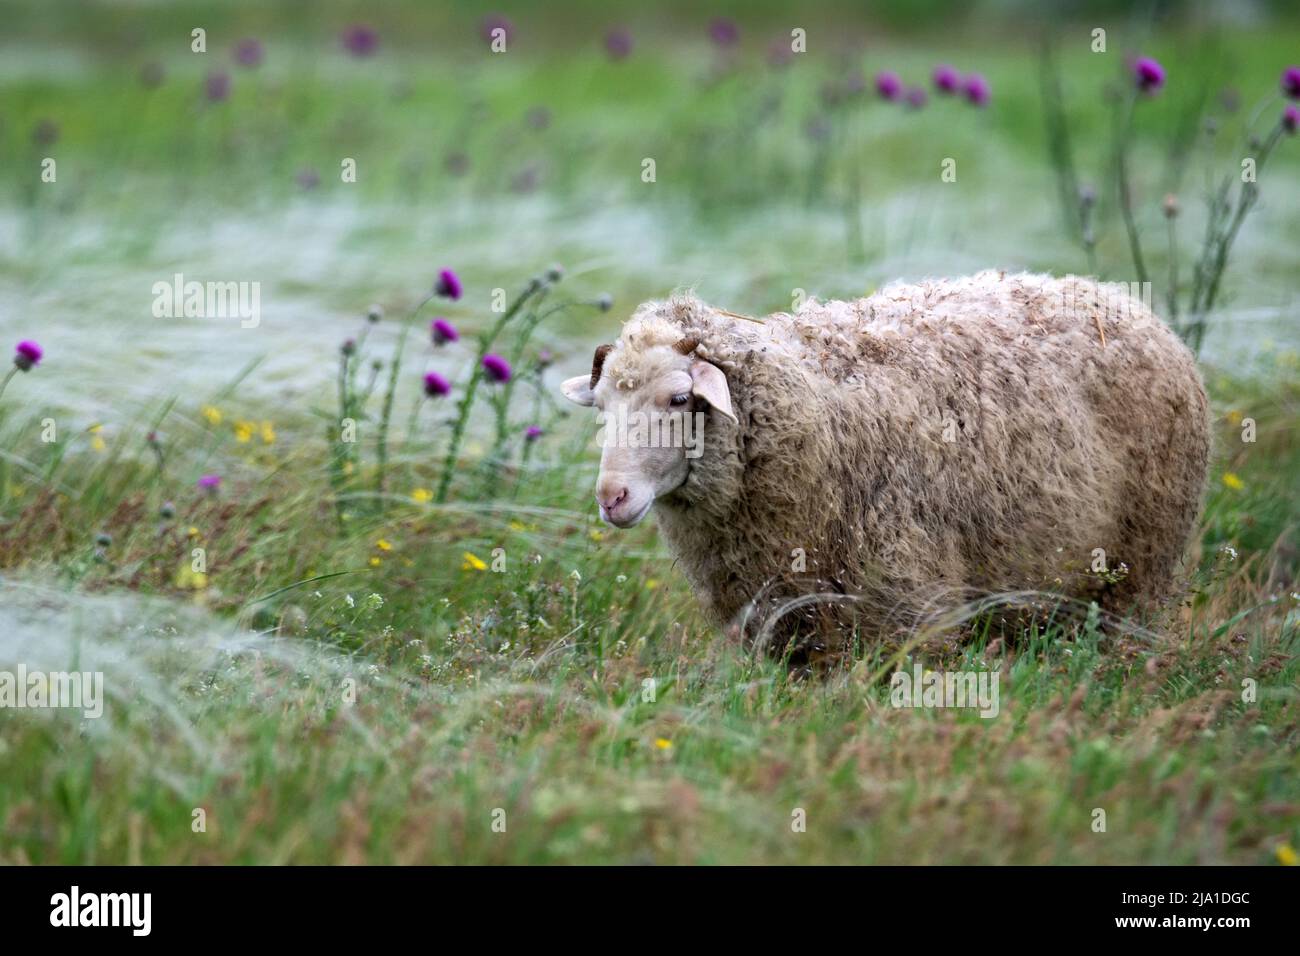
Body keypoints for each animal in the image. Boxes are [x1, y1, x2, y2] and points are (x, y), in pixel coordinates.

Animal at [564, 269, 1211, 658]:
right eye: (603, 405)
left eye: (680, 399)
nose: (612, 498)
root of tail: (1117, 296)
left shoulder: (908, 605)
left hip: (1137, 564)